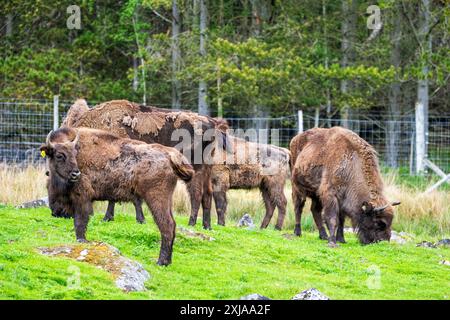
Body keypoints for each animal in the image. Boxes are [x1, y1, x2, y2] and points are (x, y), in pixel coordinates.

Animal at [39, 127, 192, 264]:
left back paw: (161, 262)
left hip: (156, 198)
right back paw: (167, 261)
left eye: (74, 154)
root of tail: (170, 155)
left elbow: (80, 224)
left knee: (166, 225)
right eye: (59, 155)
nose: (76, 174)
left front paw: (82, 241)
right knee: (172, 225)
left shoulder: (82, 199)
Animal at [58, 99, 229, 229]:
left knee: (196, 194)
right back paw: (207, 226)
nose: (61, 214)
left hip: (195, 169)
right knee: (207, 194)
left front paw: (113, 218)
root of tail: (213, 122)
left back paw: (191, 223)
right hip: (207, 169)